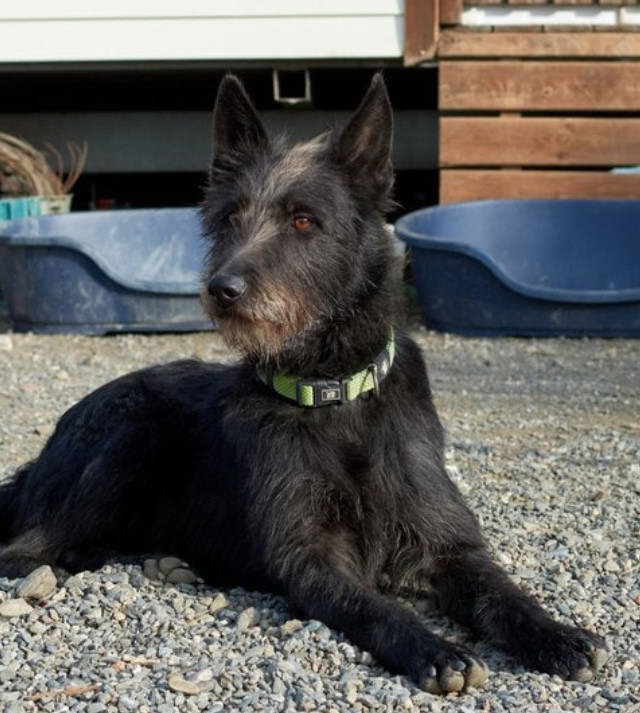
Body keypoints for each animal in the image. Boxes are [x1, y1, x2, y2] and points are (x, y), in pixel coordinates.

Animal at [0, 75, 604, 692]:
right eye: (229, 219)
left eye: (304, 220)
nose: (223, 289)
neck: (332, 392)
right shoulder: (311, 558)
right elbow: (377, 607)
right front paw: (434, 648)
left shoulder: (448, 544)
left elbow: (500, 592)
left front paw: (557, 635)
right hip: (130, 434)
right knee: (23, 550)